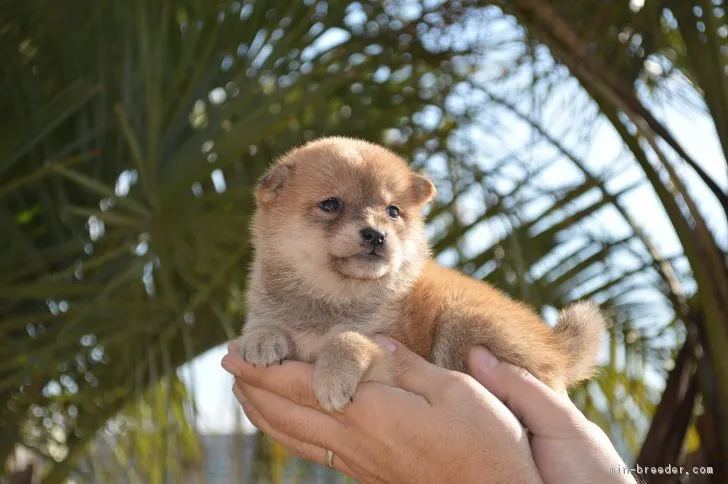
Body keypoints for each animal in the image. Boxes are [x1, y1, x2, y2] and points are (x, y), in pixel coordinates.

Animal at [235, 136, 604, 412]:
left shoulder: (392, 351)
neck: (331, 301)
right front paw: (262, 339)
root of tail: (556, 348)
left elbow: (349, 339)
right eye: (331, 204)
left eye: (393, 211)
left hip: (462, 321)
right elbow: (263, 324)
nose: (375, 235)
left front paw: (333, 374)